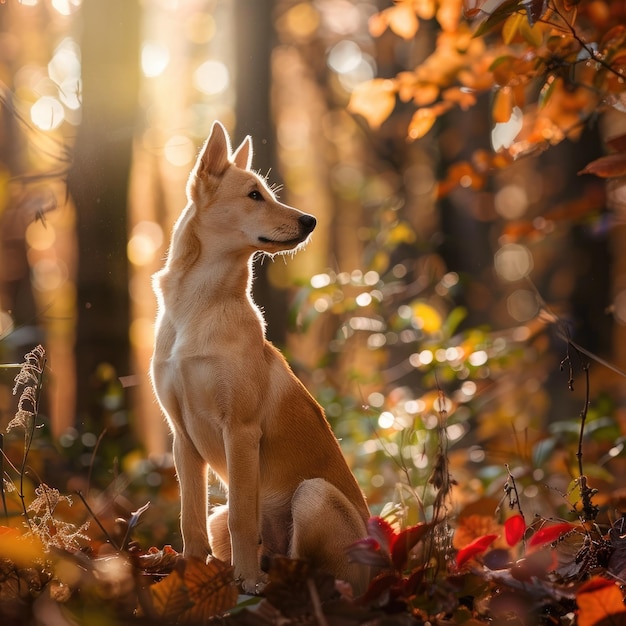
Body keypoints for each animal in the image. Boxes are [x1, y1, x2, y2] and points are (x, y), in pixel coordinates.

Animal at [149, 120, 368, 588]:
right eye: (253, 195)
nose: (311, 220)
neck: (200, 305)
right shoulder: (182, 438)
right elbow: (189, 520)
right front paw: (187, 576)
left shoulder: (241, 431)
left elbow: (243, 520)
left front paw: (247, 581)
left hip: (313, 494)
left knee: (315, 570)